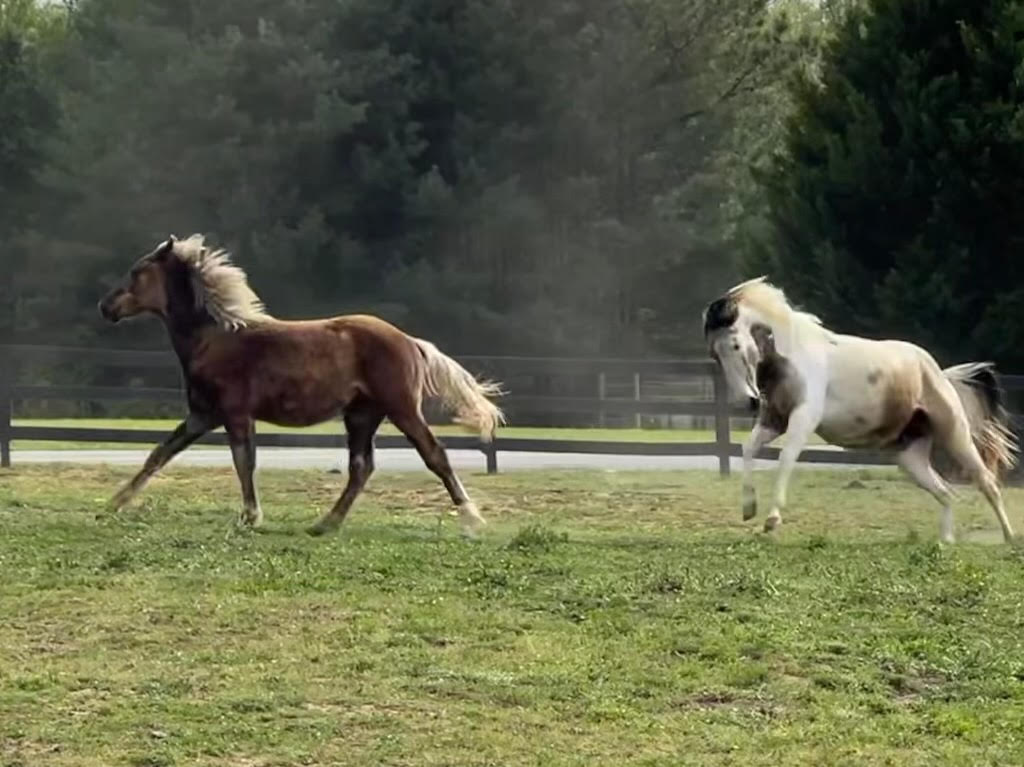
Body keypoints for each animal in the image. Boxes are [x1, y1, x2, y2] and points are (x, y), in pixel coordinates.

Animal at [97, 236, 505, 536]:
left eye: (137, 272)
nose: (105, 306)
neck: (215, 339)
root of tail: (410, 341)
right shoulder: (202, 415)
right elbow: (159, 453)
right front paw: (112, 505)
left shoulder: (235, 413)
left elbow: (244, 461)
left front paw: (251, 517)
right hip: (361, 415)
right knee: (361, 467)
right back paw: (324, 524)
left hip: (401, 408)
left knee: (433, 454)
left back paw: (471, 520)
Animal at [704, 278, 1015, 540]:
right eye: (715, 354)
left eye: (735, 345)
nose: (748, 401)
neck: (793, 356)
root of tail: (940, 374)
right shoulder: (774, 420)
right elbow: (748, 450)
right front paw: (749, 508)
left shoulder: (803, 419)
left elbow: (785, 459)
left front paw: (772, 520)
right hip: (910, 457)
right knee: (946, 493)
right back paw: (945, 541)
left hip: (955, 436)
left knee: (987, 483)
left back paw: (1009, 538)